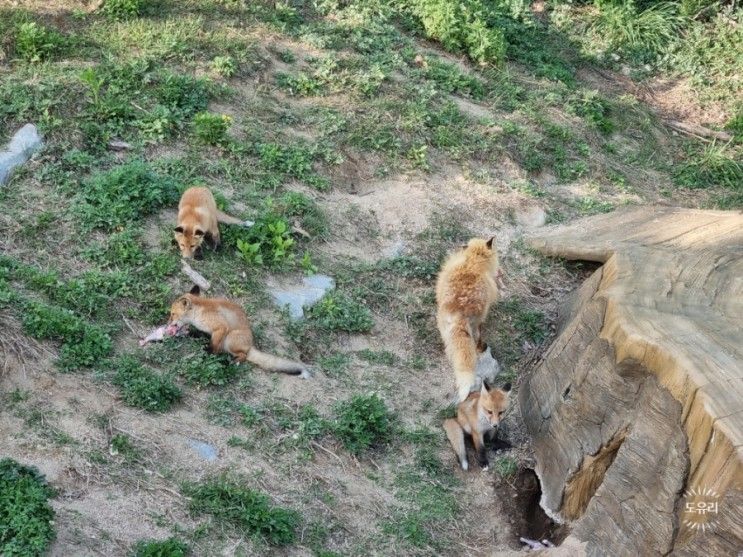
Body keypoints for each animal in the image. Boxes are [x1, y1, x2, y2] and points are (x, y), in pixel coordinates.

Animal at [169, 286, 310, 378]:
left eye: (172, 314)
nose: (169, 324)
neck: (199, 312)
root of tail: (251, 344)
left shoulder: (221, 328)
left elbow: (213, 348)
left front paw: (208, 355)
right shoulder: (211, 332)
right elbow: (207, 339)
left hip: (230, 338)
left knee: (243, 356)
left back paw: (232, 362)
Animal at [438, 235, 502, 400]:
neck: (473, 261)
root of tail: (460, 308)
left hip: (445, 325)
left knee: (451, 345)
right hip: (476, 322)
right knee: (477, 338)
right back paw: (481, 347)